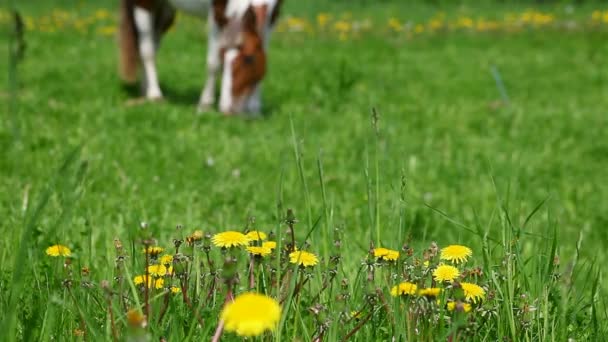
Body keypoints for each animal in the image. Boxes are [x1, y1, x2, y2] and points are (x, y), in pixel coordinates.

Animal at [119, 0, 282, 115]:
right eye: (222, 55)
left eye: (249, 59)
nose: (228, 110)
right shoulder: (216, 14)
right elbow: (213, 64)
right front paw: (205, 105)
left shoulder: (273, 17)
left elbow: (263, 56)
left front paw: (255, 109)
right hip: (144, 4)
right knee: (147, 50)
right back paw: (154, 95)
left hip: (165, 9)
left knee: (153, 43)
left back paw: (144, 90)